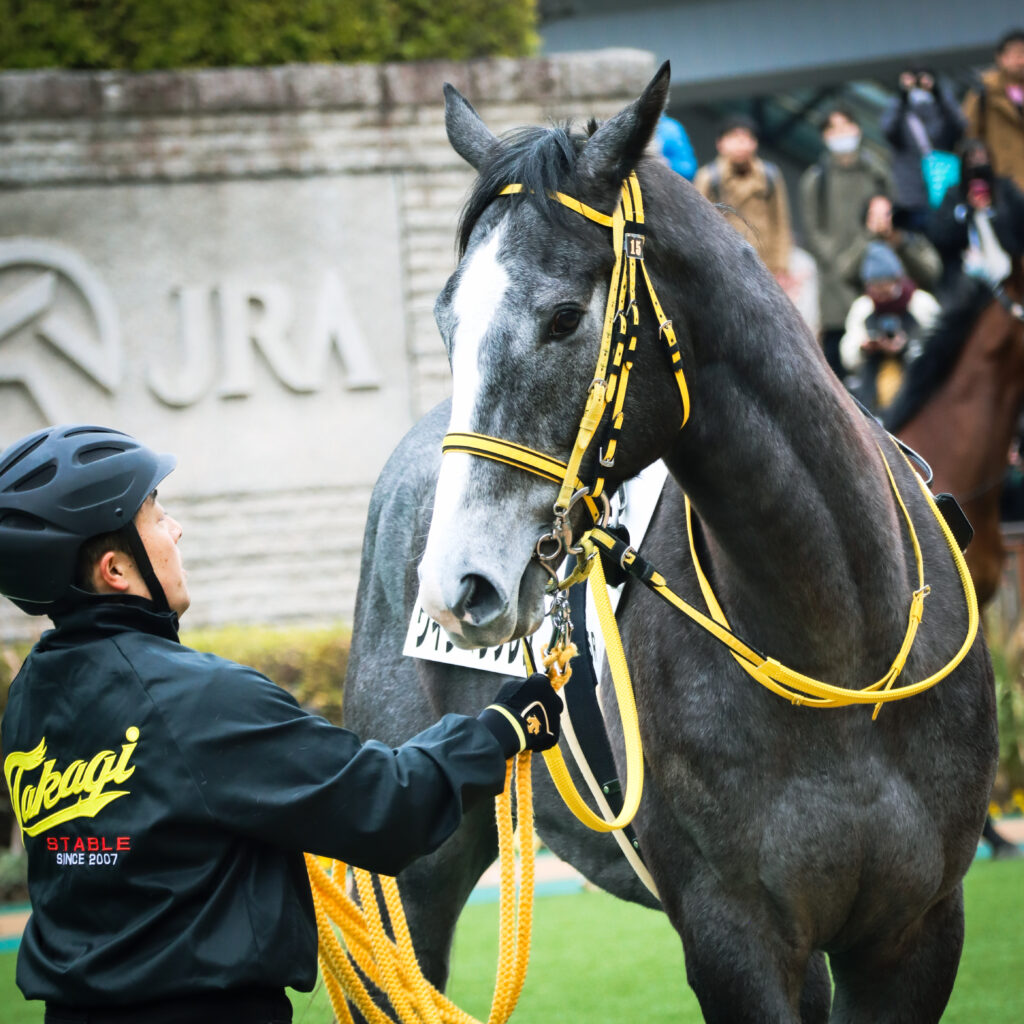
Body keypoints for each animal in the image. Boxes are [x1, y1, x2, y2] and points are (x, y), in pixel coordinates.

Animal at [343, 64, 997, 1022]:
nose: (460, 587)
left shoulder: (915, 935)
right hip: (408, 883)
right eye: (444, 321)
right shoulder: (738, 940)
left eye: (564, 317)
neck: (842, 647)